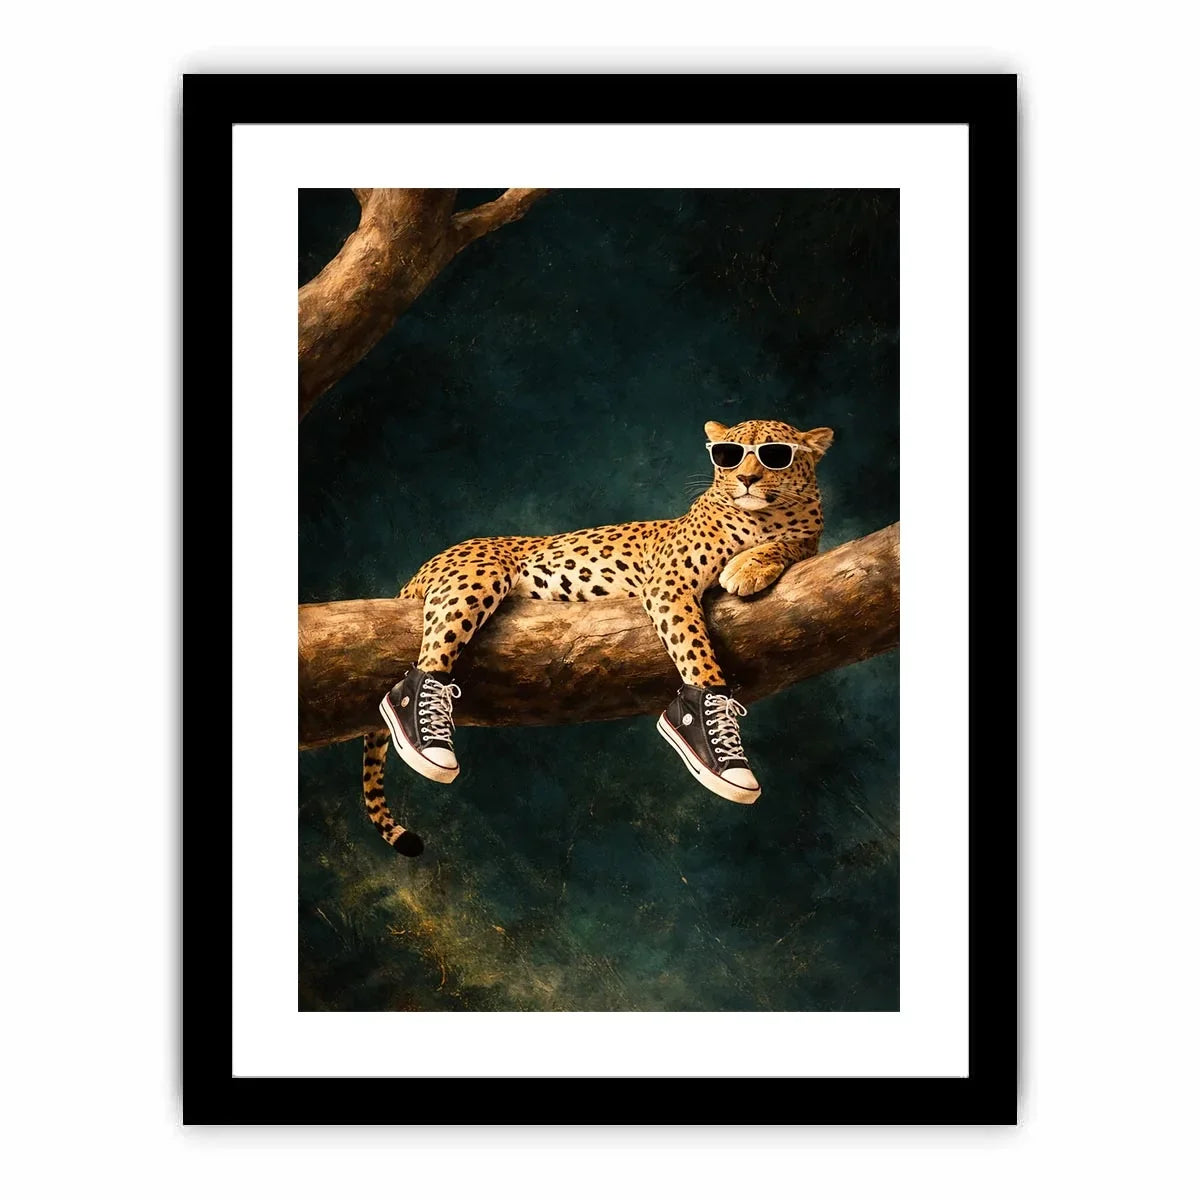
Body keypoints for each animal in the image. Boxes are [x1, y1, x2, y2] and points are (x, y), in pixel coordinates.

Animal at [362, 418, 834, 856]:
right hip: (478, 574)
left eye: (775, 455)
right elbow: (695, 650)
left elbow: (788, 546)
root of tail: (425, 565)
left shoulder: (807, 545)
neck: (764, 518)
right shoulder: (670, 582)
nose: (747, 479)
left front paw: (750, 566)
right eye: (730, 456)